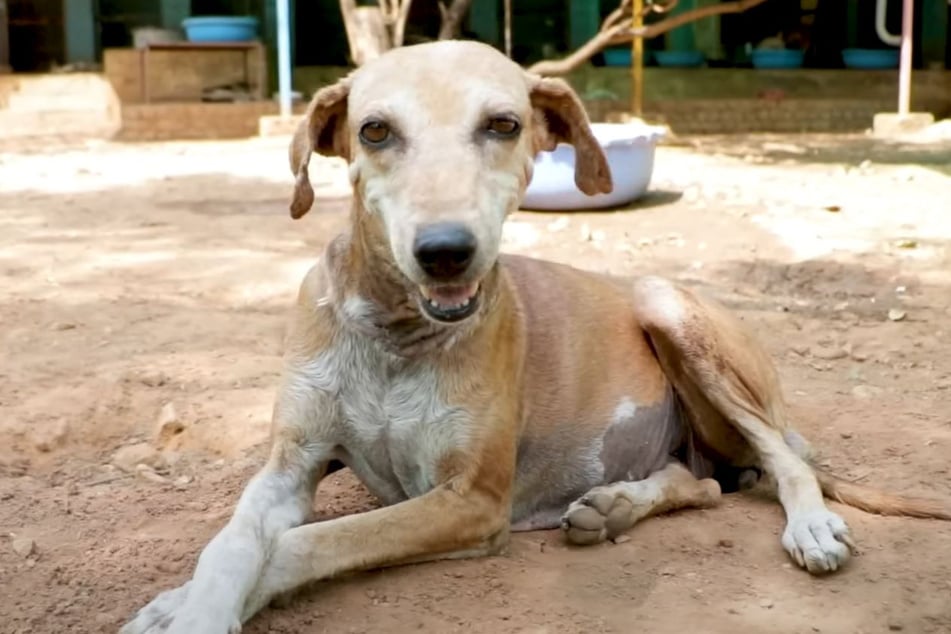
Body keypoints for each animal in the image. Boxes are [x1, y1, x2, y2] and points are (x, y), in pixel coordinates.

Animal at [121, 40, 951, 632]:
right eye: (375, 130)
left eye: (503, 124)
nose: (445, 251)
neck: (395, 331)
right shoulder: (290, 463)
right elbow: (233, 540)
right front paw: (185, 604)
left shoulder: (469, 499)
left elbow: (303, 542)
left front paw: (185, 608)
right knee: (706, 484)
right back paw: (612, 506)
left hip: (669, 311)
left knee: (779, 461)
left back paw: (808, 524)